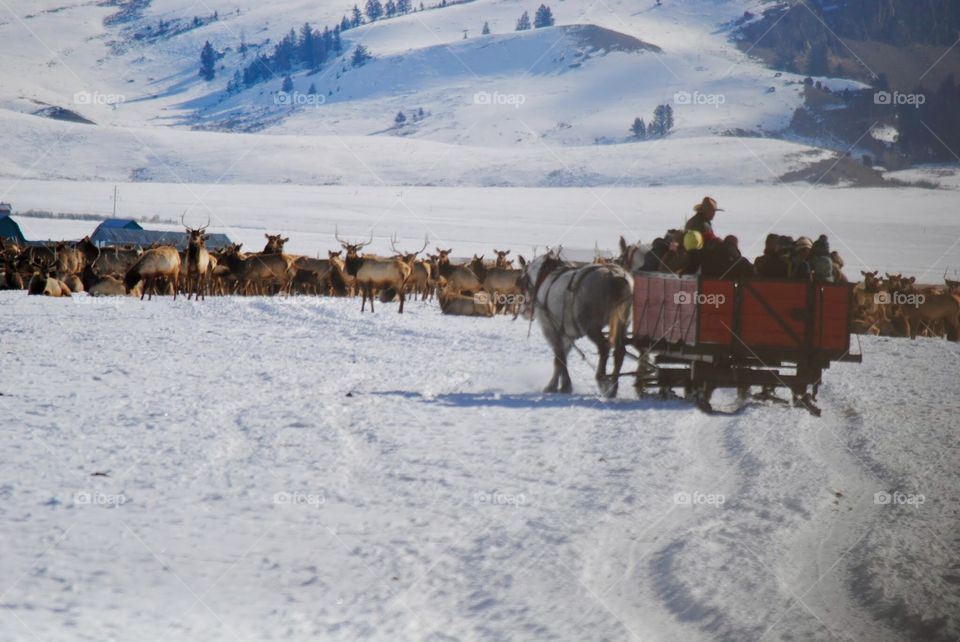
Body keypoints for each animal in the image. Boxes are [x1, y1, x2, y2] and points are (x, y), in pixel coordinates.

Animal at [518, 249, 634, 398]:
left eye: (521, 282)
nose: (523, 311)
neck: (544, 278)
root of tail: (615, 276)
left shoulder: (550, 329)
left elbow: (559, 357)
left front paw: (557, 386)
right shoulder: (568, 334)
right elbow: (562, 358)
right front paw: (561, 384)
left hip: (592, 327)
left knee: (604, 347)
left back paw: (602, 380)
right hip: (623, 324)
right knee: (619, 351)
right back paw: (613, 386)